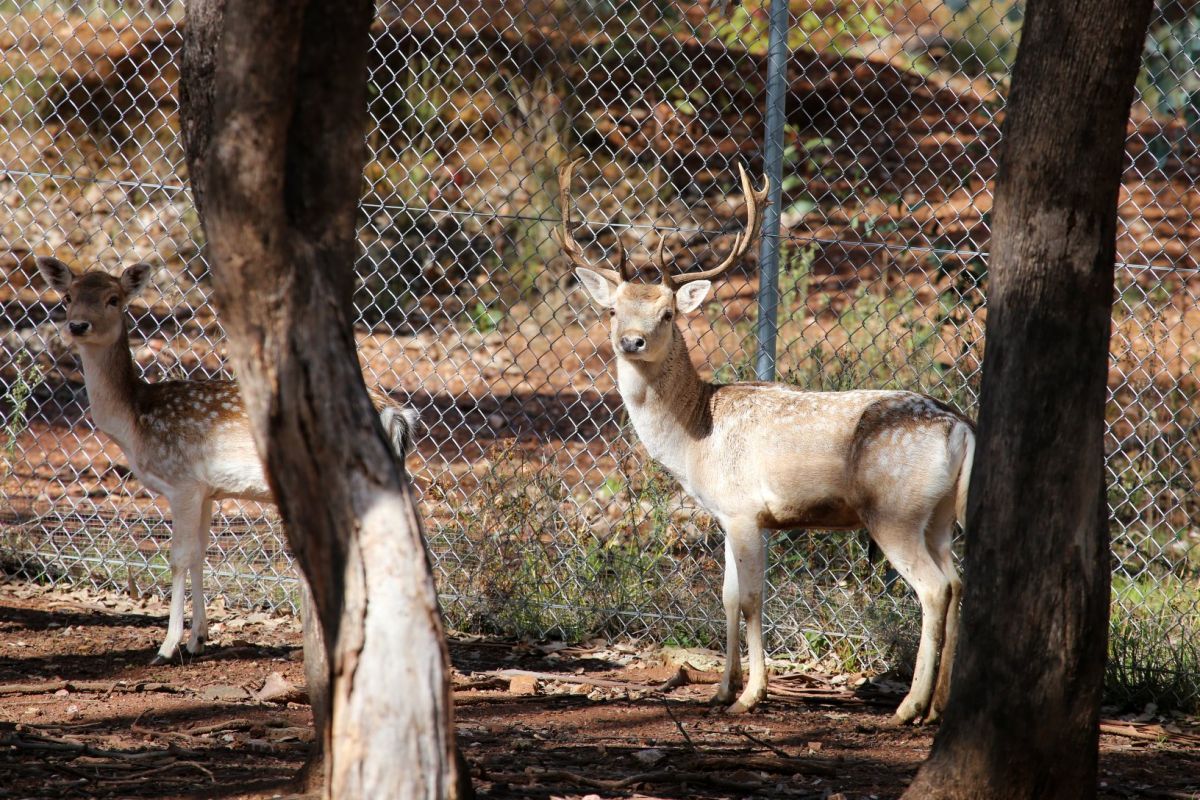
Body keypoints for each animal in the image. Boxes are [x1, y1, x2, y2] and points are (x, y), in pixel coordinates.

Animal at [36, 256, 422, 662]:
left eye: (113, 299)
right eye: (67, 296)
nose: (78, 325)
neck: (134, 422)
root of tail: (398, 413)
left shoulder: (182, 483)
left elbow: (178, 557)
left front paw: (167, 647)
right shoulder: (206, 490)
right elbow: (200, 554)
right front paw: (198, 640)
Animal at [559, 163, 974, 724]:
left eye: (667, 314)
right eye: (612, 312)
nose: (631, 341)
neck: (697, 434)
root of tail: (958, 426)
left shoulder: (743, 509)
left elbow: (754, 600)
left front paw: (751, 694)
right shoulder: (726, 514)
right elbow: (728, 597)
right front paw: (720, 690)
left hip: (895, 510)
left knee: (933, 588)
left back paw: (909, 707)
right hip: (939, 514)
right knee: (957, 582)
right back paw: (939, 706)